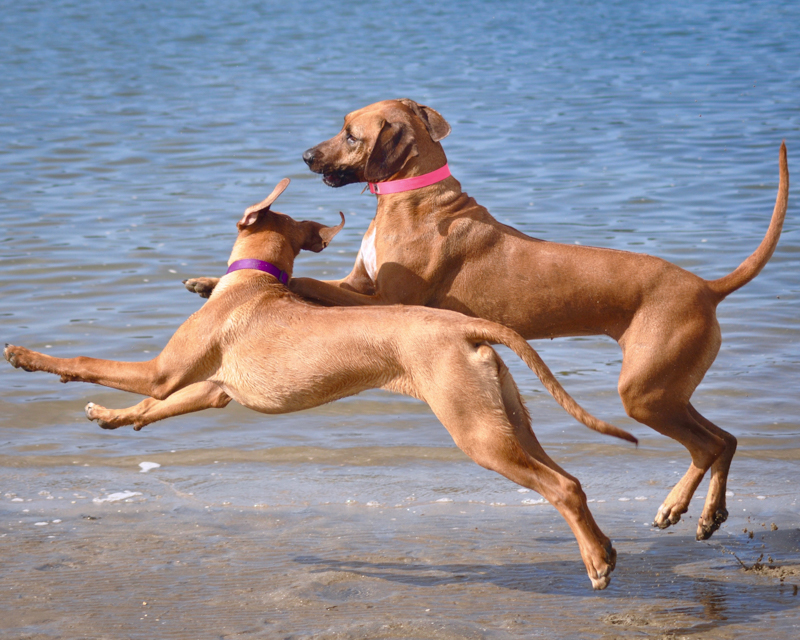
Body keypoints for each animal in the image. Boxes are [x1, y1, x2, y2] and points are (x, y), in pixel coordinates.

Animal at [3, 179, 636, 592]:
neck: (256, 281)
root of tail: (464, 324)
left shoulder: (165, 370)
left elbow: (92, 361)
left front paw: (28, 356)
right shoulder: (213, 389)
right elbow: (152, 407)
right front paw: (113, 418)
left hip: (477, 433)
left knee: (560, 488)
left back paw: (596, 564)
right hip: (504, 417)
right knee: (572, 479)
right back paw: (603, 547)